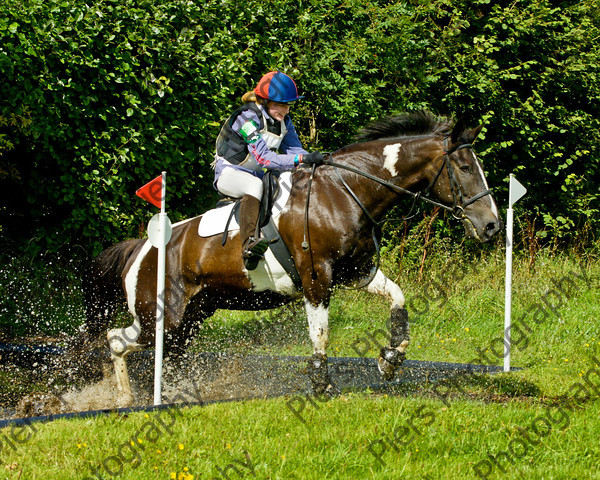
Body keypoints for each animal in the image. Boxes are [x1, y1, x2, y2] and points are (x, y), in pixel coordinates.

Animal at [81, 109, 502, 404]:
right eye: (465, 168)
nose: (492, 226)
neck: (346, 191)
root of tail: (141, 247)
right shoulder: (317, 276)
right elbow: (321, 333)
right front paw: (323, 386)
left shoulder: (358, 272)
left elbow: (398, 300)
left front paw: (390, 359)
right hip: (162, 318)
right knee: (116, 340)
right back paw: (124, 398)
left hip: (193, 316)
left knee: (164, 353)